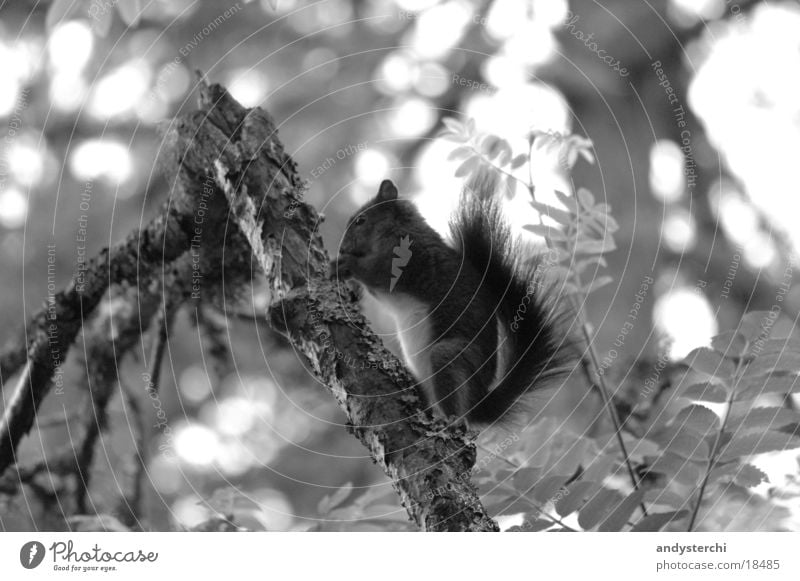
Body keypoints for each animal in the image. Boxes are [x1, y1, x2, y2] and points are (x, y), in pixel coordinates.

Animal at [332, 177, 576, 426]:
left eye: (361, 220)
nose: (342, 248)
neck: (401, 229)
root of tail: (479, 402)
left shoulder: (407, 259)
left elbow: (376, 272)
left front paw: (344, 264)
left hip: (451, 358)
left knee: (455, 409)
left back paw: (449, 422)